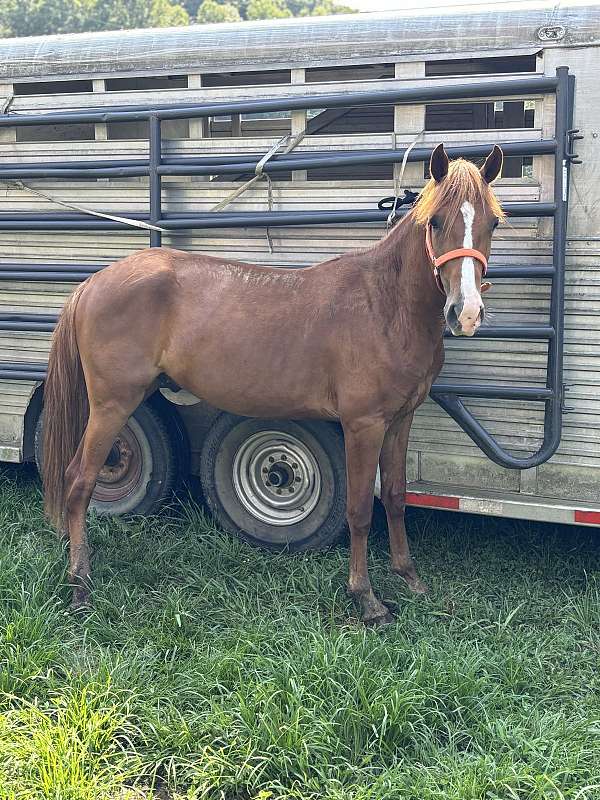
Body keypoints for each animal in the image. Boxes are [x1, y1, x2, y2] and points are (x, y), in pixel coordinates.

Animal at [39, 144, 504, 624]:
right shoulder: (363, 425)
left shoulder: (400, 420)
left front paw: (409, 578)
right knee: (79, 480)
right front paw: (366, 598)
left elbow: (395, 497)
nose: (466, 313)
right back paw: (80, 584)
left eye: (492, 222)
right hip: (113, 404)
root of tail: (93, 283)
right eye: (436, 221)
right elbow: (359, 509)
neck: (385, 305)